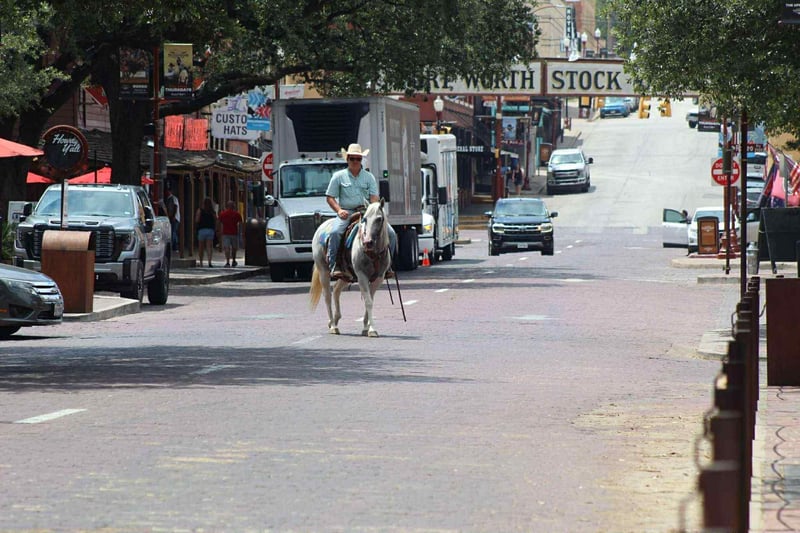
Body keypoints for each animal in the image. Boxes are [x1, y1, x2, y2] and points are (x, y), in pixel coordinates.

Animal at [309, 200, 392, 337]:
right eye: (364, 219)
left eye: (379, 219)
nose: (368, 242)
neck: (372, 253)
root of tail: (321, 227)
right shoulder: (362, 276)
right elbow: (368, 301)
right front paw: (372, 329)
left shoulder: (378, 278)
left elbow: (370, 300)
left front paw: (366, 327)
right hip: (323, 271)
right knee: (327, 296)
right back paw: (333, 326)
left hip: (346, 276)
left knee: (336, 290)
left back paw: (335, 320)